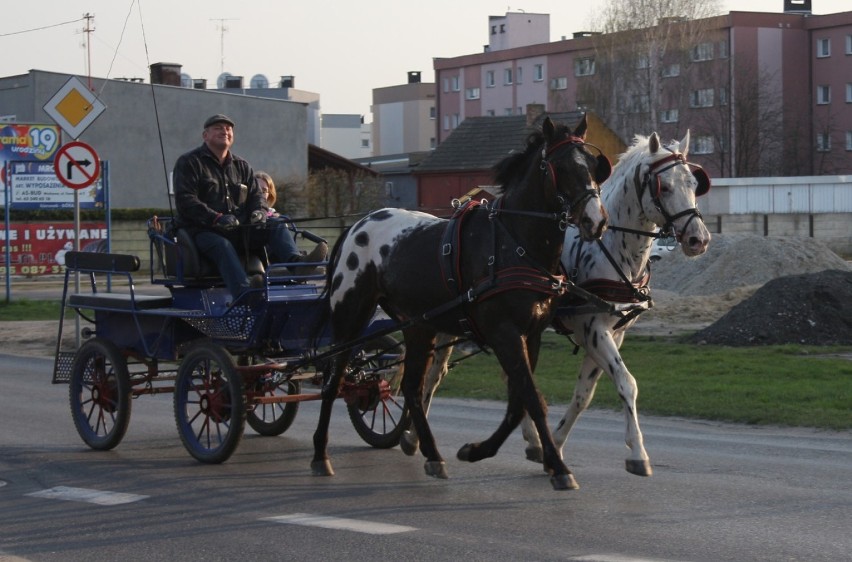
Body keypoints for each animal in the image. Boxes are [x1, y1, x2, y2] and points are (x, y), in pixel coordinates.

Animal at [312, 116, 612, 488]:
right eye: (562, 167)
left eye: (593, 166)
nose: (595, 220)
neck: (514, 242)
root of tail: (356, 225)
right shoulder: (504, 333)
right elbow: (531, 397)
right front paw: (558, 466)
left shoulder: (531, 334)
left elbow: (518, 403)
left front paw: (477, 450)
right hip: (350, 316)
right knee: (334, 380)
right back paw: (320, 453)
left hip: (419, 325)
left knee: (411, 388)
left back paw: (432, 454)